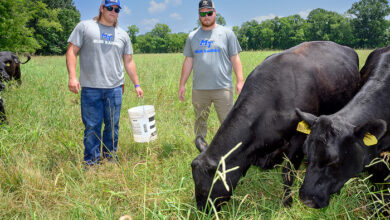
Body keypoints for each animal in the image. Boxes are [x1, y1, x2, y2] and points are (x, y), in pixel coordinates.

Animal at [190, 40, 364, 211]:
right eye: (195, 184)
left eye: (206, 188)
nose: (202, 210)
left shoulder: (299, 137)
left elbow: (287, 172)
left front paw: (287, 202)